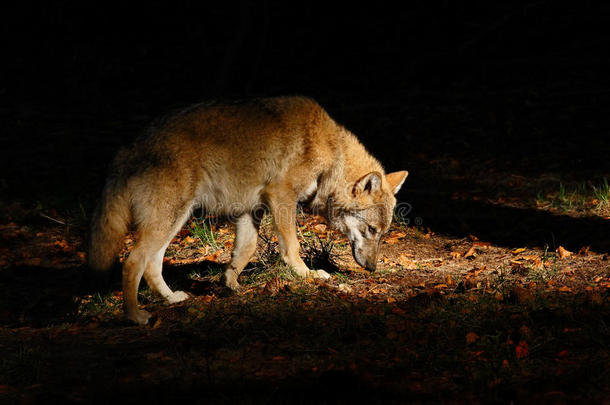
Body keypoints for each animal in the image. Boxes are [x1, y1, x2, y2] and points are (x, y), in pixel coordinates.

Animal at [88, 96, 406, 324]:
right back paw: (134, 317)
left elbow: (245, 250)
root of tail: (127, 149)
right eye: (371, 230)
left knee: (152, 265)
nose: (372, 268)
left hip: (174, 221)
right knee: (133, 262)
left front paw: (230, 284)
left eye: (382, 234)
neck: (331, 152)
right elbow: (292, 247)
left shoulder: (251, 210)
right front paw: (307, 275)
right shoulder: (281, 197)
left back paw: (171, 299)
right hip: (170, 220)